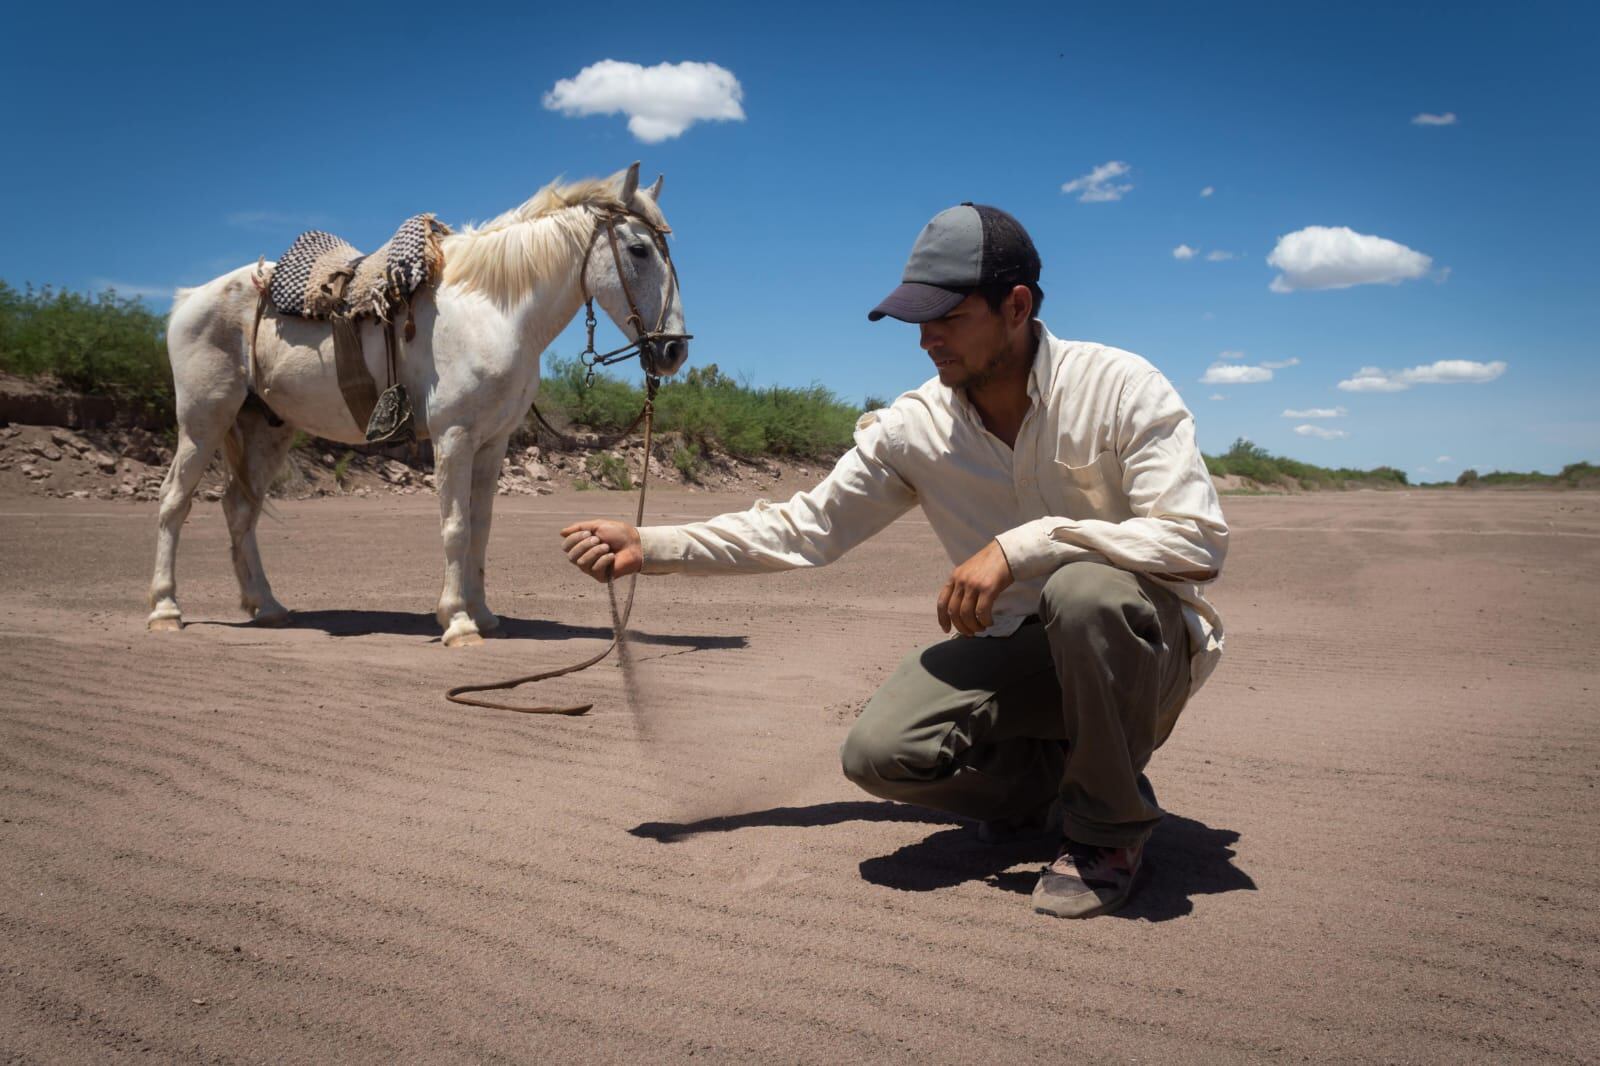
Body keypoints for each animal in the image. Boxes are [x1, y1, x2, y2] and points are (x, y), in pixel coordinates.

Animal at [151, 161, 694, 643]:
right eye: (639, 249)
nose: (674, 350)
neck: (493, 309)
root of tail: (189, 299)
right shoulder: (453, 437)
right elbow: (454, 526)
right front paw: (457, 622)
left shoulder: (492, 443)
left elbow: (480, 527)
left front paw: (483, 614)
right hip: (202, 419)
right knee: (175, 500)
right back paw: (166, 610)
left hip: (267, 428)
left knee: (240, 509)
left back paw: (266, 606)